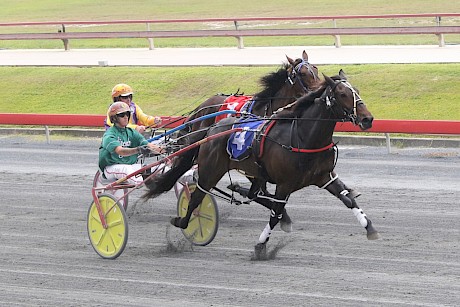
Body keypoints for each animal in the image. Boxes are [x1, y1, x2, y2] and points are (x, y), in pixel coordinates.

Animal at [149, 70, 380, 258]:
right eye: (342, 94)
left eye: (356, 91)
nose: (367, 119)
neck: (303, 137)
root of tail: (211, 130)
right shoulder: (285, 185)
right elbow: (275, 214)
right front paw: (260, 246)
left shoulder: (324, 176)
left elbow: (348, 199)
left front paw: (369, 227)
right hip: (211, 169)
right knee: (197, 195)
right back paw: (183, 221)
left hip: (253, 171)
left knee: (253, 193)